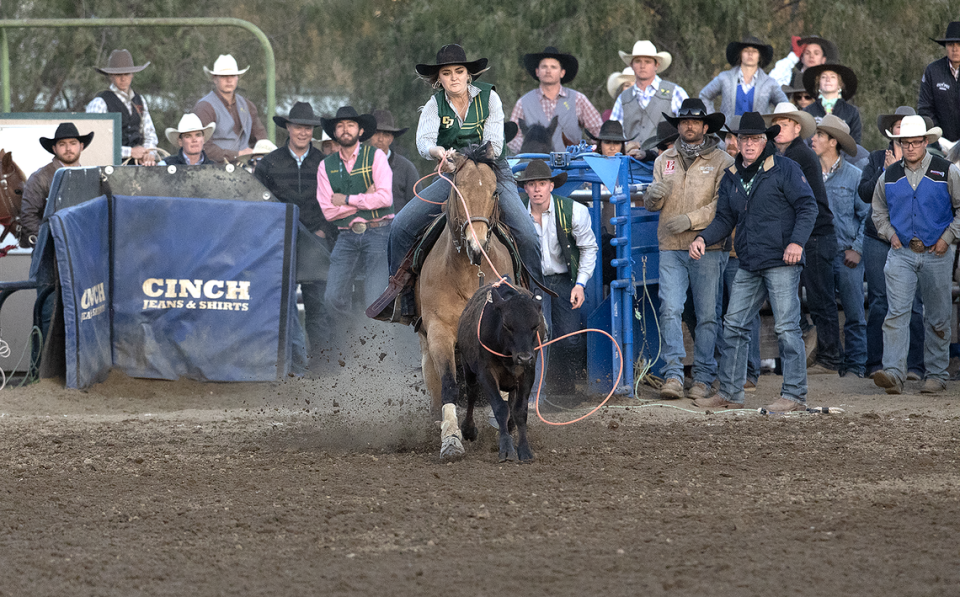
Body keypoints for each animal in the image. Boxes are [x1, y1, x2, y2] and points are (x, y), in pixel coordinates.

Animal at [414, 142, 516, 458]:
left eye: (495, 192)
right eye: (458, 187)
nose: (476, 245)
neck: (469, 275)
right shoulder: (439, 331)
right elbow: (449, 384)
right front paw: (451, 439)